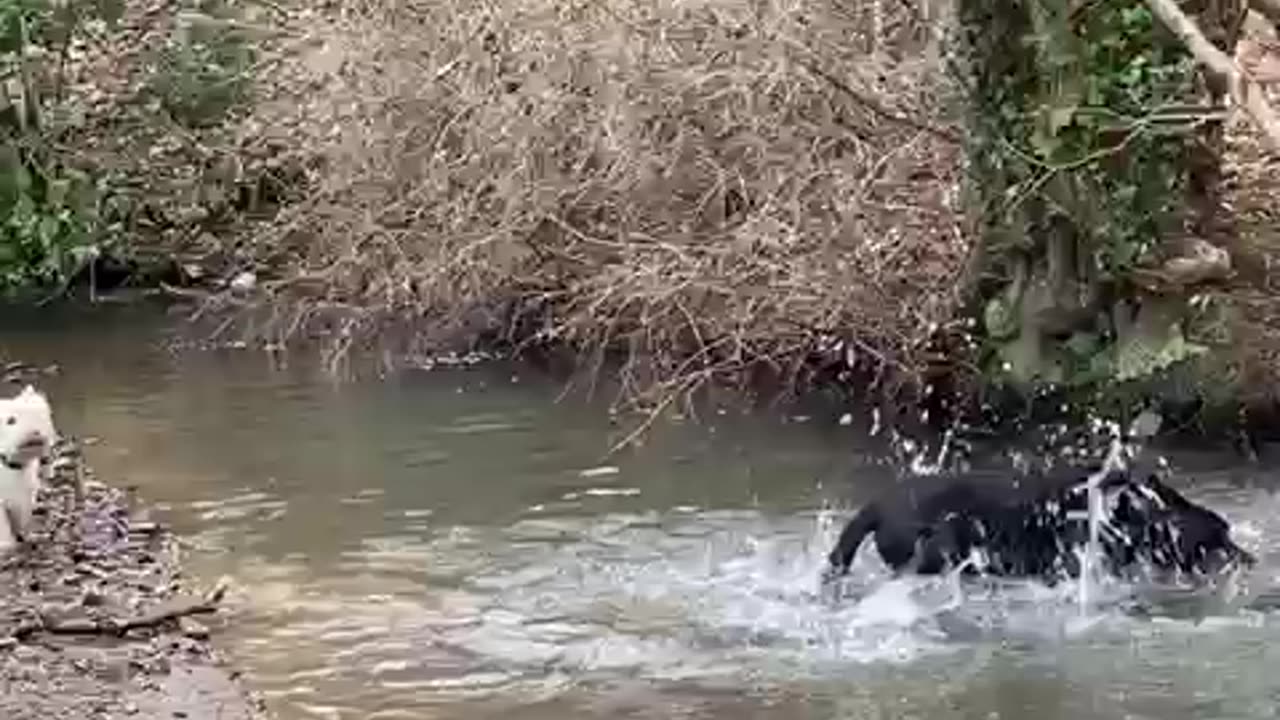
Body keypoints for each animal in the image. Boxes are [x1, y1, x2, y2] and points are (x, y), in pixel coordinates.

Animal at [0, 384, 57, 550]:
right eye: (11, 420)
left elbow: (23, 518)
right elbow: (2, 526)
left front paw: (29, 537)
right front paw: (7, 545)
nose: (35, 431)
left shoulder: (25, 496)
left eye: (40, 416)